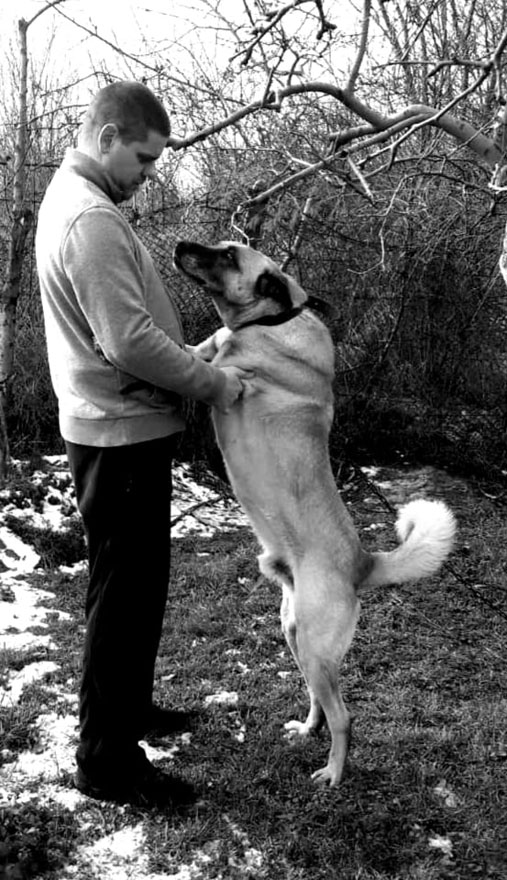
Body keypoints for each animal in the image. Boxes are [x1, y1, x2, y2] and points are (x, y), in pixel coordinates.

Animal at [174, 239, 456, 784]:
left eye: (228, 255)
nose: (181, 246)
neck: (271, 321)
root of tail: (364, 563)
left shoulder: (234, 380)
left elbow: (218, 367)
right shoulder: (211, 347)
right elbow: (196, 349)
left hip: (312, 642)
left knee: (344, 715)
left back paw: (332, 772)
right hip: (296, 635)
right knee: (323, 702)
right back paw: (308, 730)